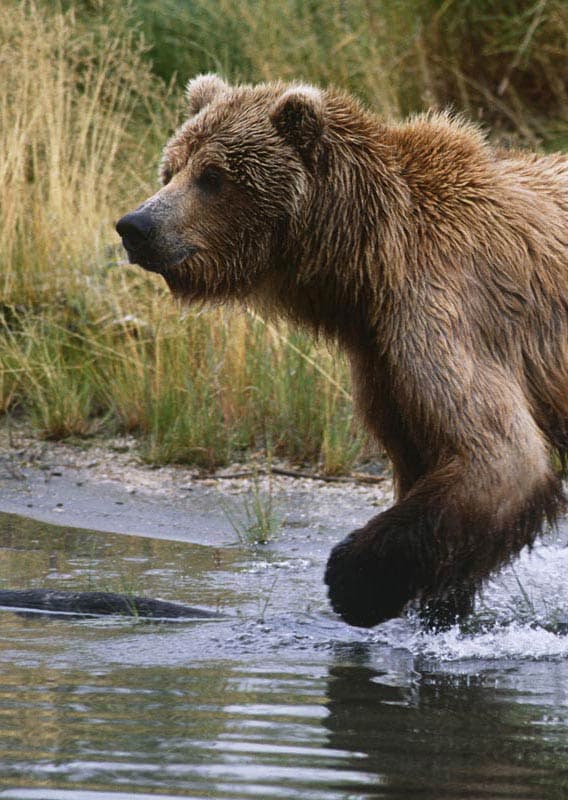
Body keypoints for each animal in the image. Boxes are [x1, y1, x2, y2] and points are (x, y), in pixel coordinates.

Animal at [115, 72, 568, 628]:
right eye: (171, 168)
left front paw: (352, 580)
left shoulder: (441, 308)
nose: (136, 226)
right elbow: (431, 459)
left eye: (213, 175)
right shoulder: (380, 354)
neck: (367, 259)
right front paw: (440, 607)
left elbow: (501, 455)